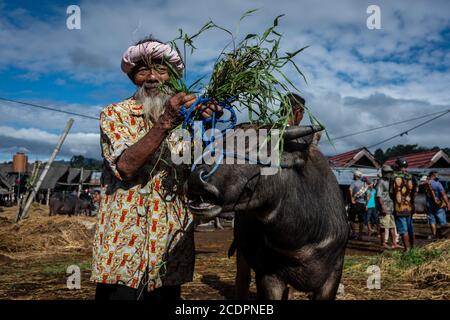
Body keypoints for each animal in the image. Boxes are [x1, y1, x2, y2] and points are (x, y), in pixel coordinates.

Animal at [185, 124, 348, 298]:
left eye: (261, 148)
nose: (196, 177)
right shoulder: (267, 274)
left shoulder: (334, 275)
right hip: (242, 252)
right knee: (242, 279)